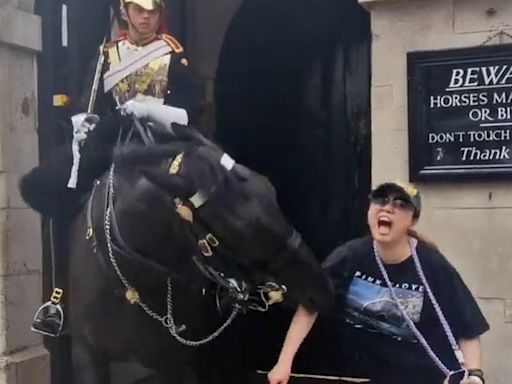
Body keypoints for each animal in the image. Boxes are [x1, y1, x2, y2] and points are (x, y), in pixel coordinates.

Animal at [19, 124, 332, 384]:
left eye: (270, 189)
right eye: (234, 227)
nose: (322, 290)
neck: (130, 281)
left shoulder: (173, 362)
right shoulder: (89, 353)